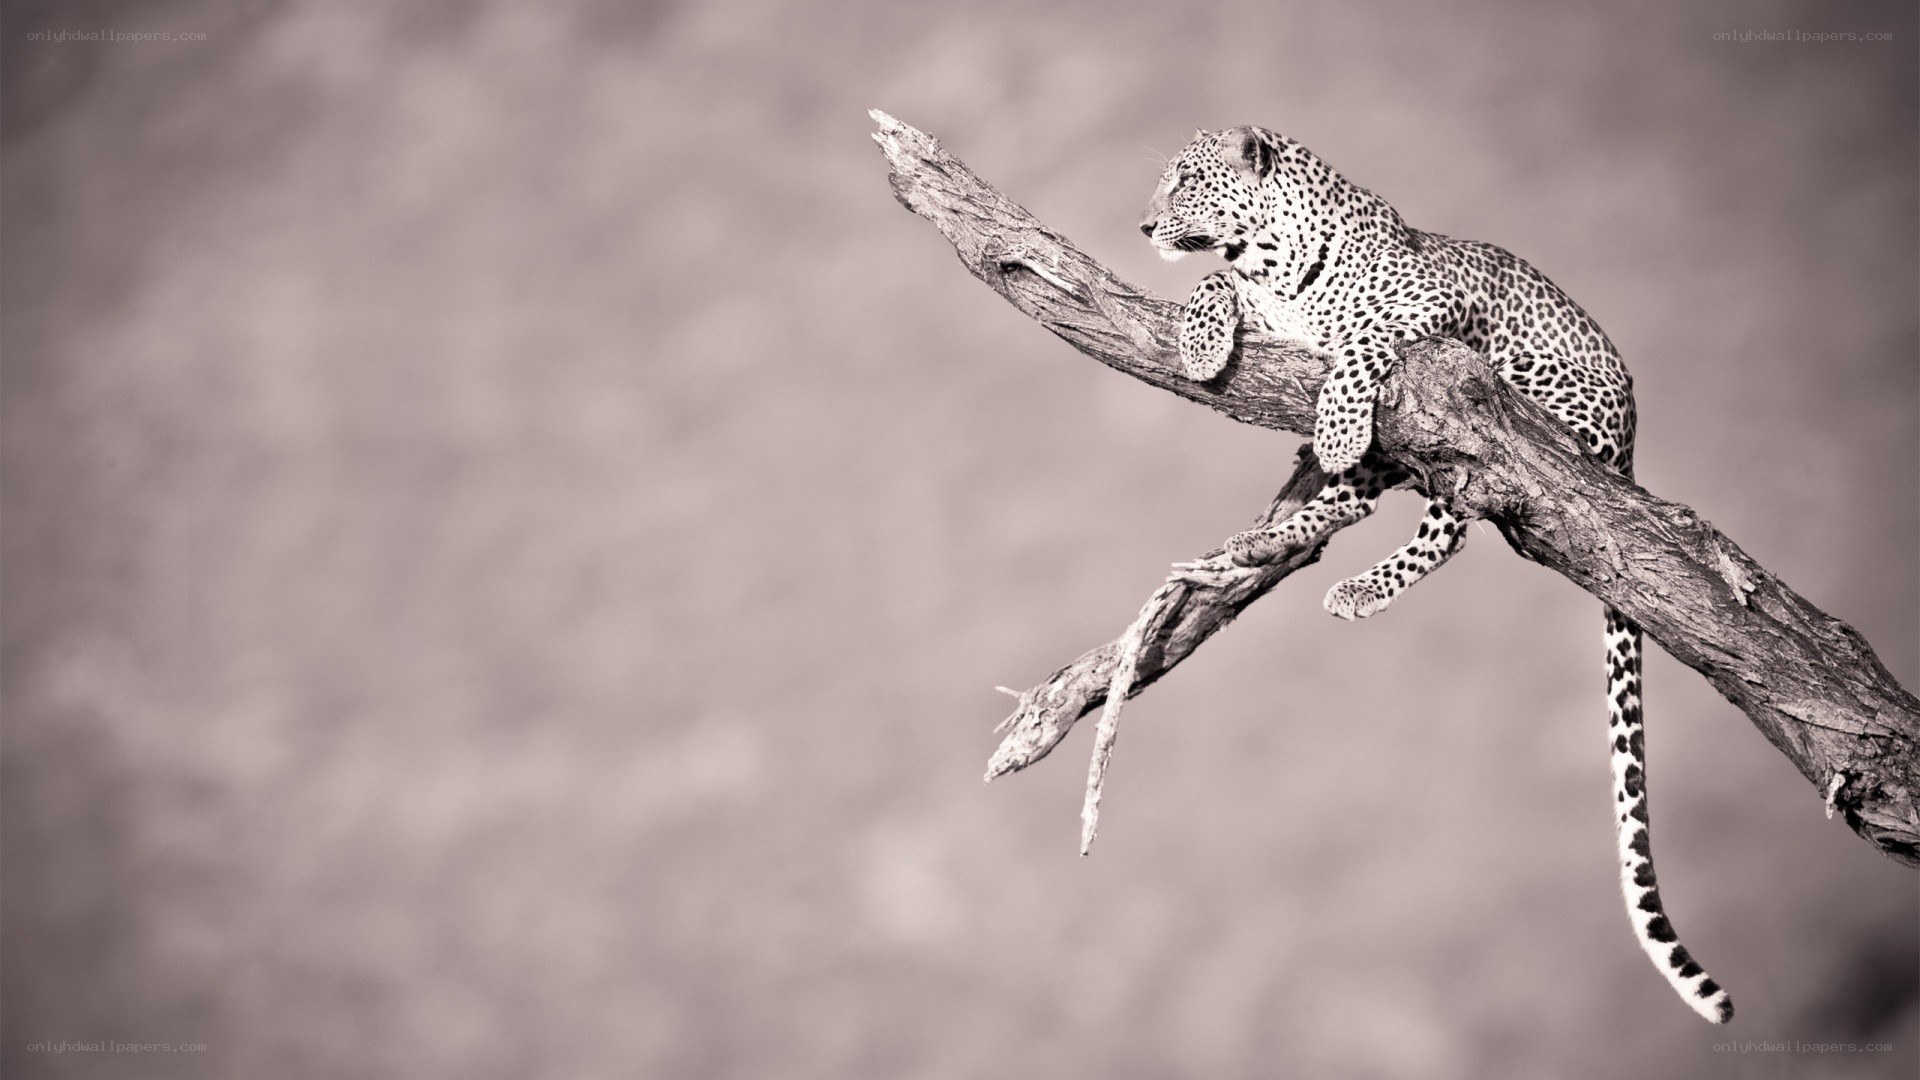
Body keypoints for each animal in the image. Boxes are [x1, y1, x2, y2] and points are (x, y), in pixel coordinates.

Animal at [1139, 125, 1733, 1024]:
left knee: (1451, 520)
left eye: (1186, 182)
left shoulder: (1425, 307)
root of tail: (1631, 445)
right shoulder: (1262, 300)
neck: (1271, 260)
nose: (1143, 225)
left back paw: (1351, 572)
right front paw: (1204, 344)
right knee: (1358, 503)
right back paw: (1259, 544)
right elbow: (1214, 282)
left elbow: (1357, 343)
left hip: (1500, 407)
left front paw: (1335, 420)